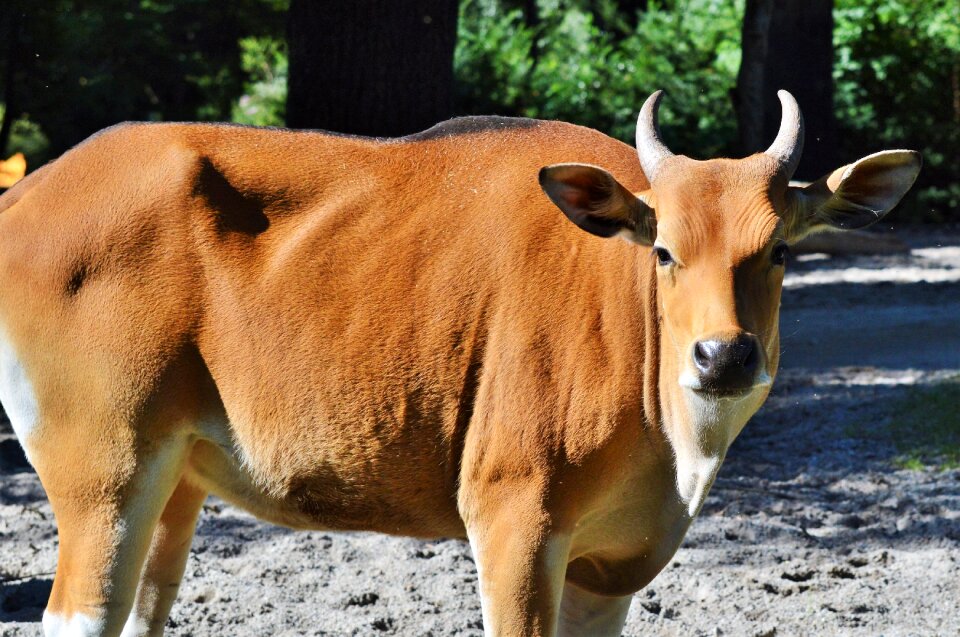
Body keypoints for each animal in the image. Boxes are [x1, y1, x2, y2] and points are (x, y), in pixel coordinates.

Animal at [0, 90, 924, 636]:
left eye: (780, 251)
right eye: (664, 249)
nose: (724, 353)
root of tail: (28, 193)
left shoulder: (614, 565)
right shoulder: (514, 520)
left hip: (174, 481)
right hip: (104, 476)